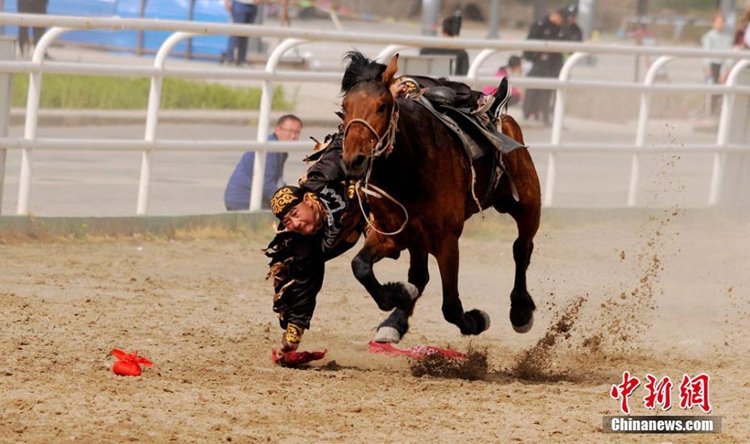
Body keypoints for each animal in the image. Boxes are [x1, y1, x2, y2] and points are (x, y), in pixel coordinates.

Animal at [340, 52, 540, 344]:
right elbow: (360, 266)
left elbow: (451, 307)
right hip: (416, 239)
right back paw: (394, 322)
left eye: (382, 106)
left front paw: (477, 320)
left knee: (521, 248)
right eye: (345, 107)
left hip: (527, 203)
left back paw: (521, 311)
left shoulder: (446, 241)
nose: (353, 161)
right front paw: (398, 294)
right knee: (419, 275)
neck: (409, 168)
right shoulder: (391, 234)